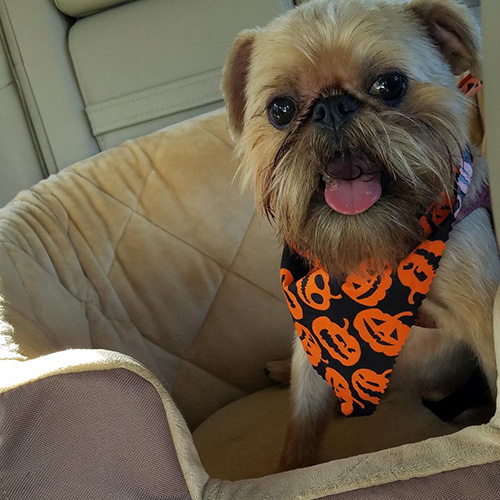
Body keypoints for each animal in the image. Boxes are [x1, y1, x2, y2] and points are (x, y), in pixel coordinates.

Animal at [223, 0, 500, 472]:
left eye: (390, 85)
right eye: (280, 110)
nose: (332, 107)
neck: (370, 247)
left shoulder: (482, 318)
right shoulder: (313, 337)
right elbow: (303, 418)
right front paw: (291, 470)